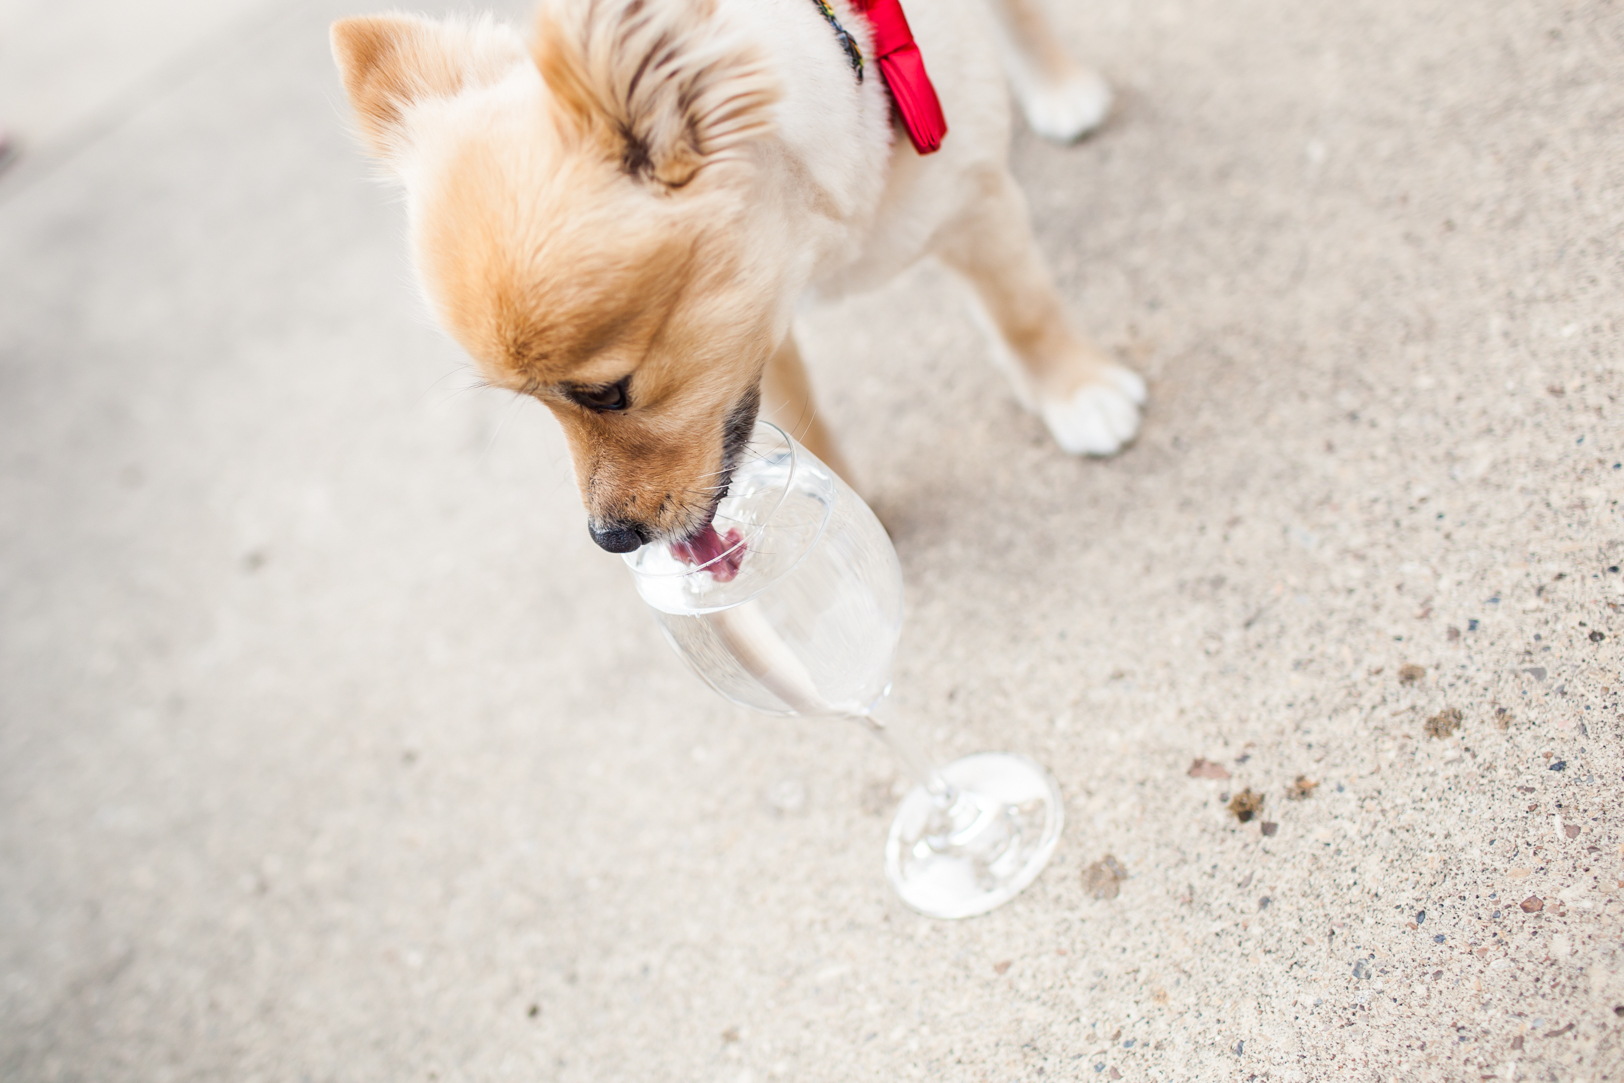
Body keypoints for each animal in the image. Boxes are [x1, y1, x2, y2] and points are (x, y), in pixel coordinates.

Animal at [326, 0, 1143, 555]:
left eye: (607, 393)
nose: (609, 537)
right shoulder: (748, 327)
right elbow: (789, 414)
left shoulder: (975, 203)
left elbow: (1023, 310)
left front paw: (1076, 390)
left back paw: (1056, 86)